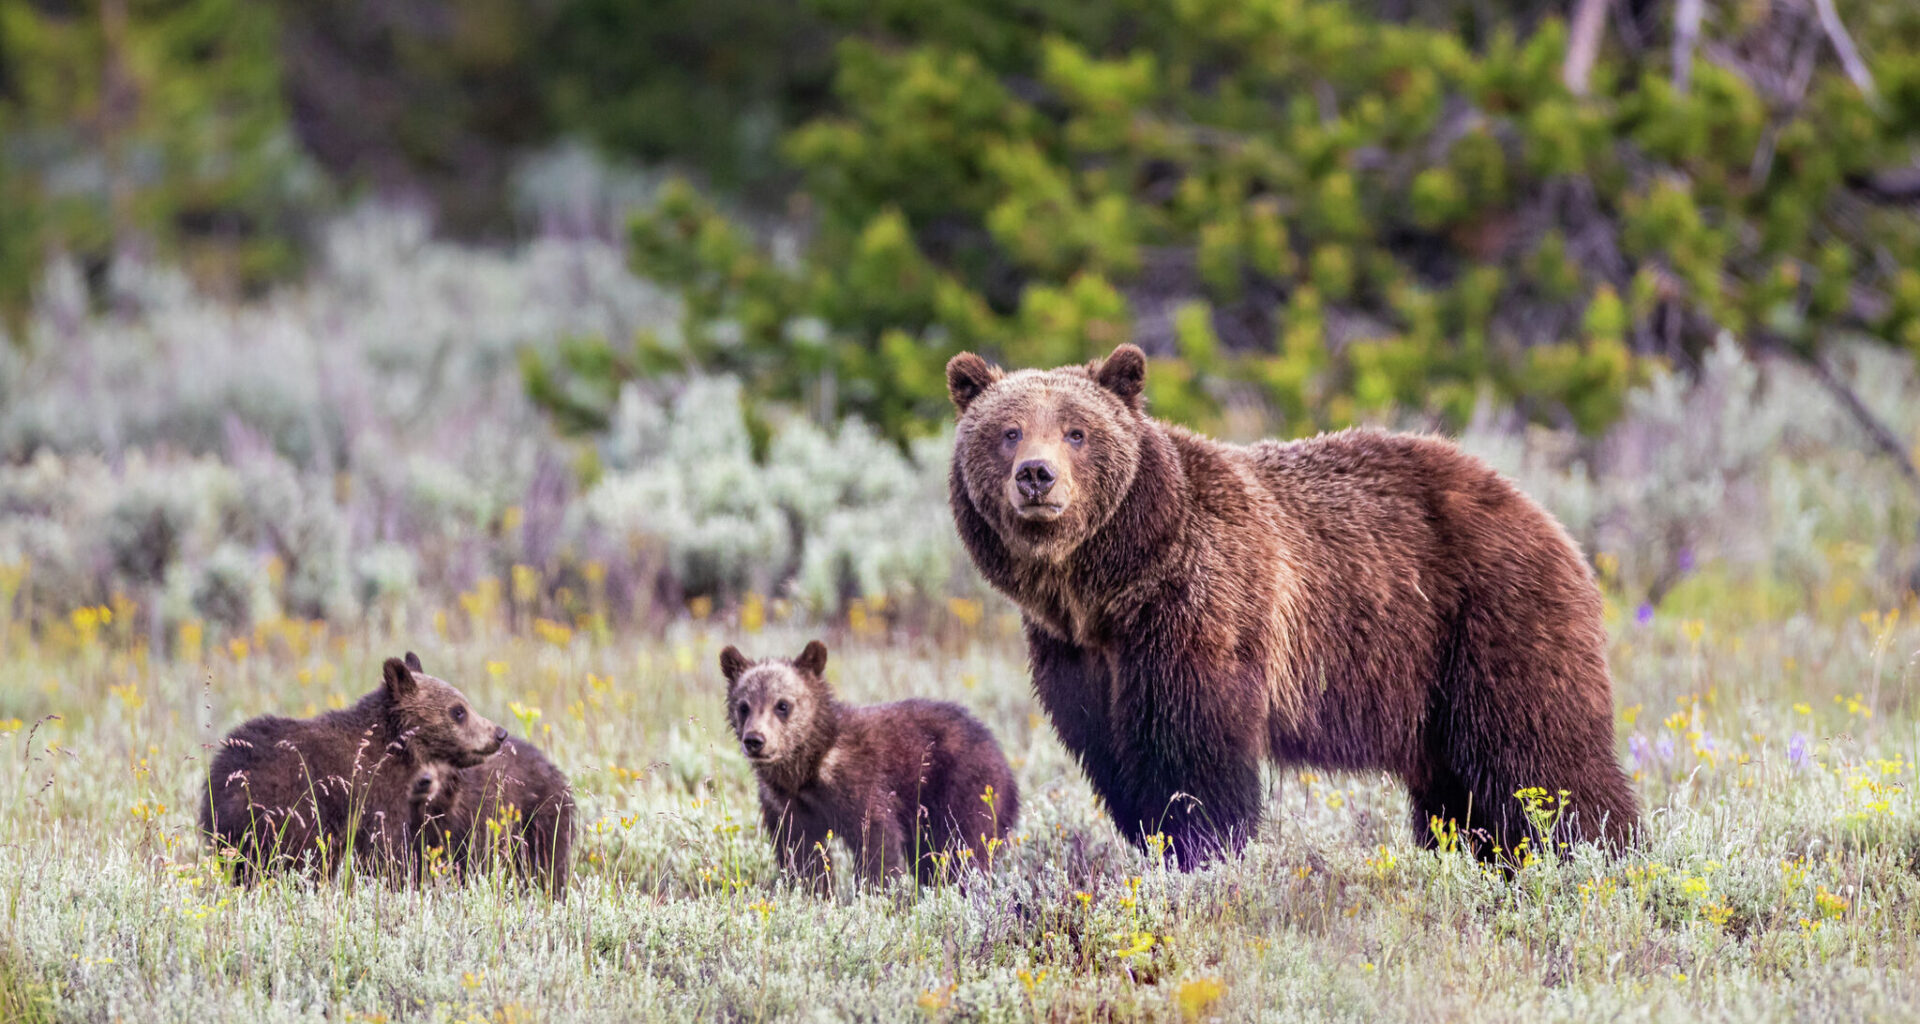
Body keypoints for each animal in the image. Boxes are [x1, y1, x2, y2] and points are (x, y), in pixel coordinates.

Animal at [200, 652, 507, 884]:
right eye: (458, 711)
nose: (499, 733)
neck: (395, 749)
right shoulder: (373, 793)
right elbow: (385, 846)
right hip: (281, 814)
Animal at [719, 640, 1019, 888]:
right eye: (743, 706)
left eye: (782, 705)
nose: (755, 740)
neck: (809, 768)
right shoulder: (787, 805)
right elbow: (801, 854)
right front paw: (811, 892)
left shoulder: (862, 783)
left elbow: (877, 842)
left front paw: (878, 893)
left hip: (964, 787)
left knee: (964, 848)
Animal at [946, 342, 1637, 868]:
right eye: (1008, 432)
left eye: (1077, 431)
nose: (1036, 475)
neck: (1107, 586)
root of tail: (1546, 517)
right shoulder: (1076, 652)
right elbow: (1113, 756)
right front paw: (1156, 841)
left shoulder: (1203, 607)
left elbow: (1194, 754)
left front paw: (1203, 850)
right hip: (1435, 690)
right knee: (1458, 792)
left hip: (1490, 619)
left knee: (1540, 758)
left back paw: (1600, 854)